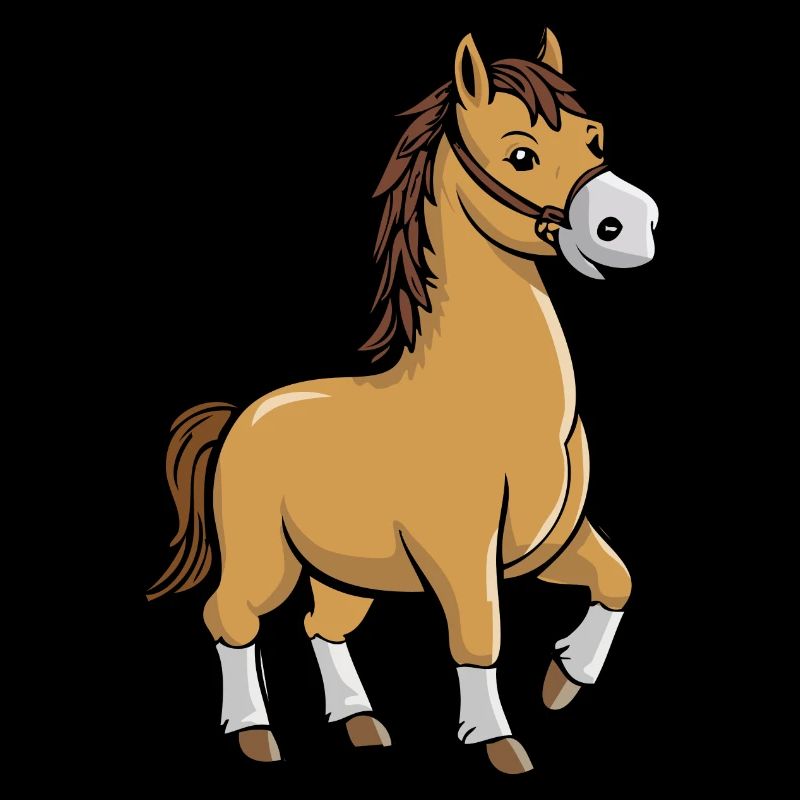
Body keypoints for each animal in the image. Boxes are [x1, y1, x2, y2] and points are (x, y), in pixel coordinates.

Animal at [147, 29, 658, 775]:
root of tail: (241, 416)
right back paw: (254, 735)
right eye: (522, 154)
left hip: (346, 572)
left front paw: (563, 680)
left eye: (593, 137)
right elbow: (479, 637)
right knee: (232, 618)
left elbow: (618, 582)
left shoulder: (555, 541)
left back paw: (361, 723)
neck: (492, 404)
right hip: (266, 560)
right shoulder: (462, 553)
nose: (632, 225)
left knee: (322, 626)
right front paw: (497, 741)